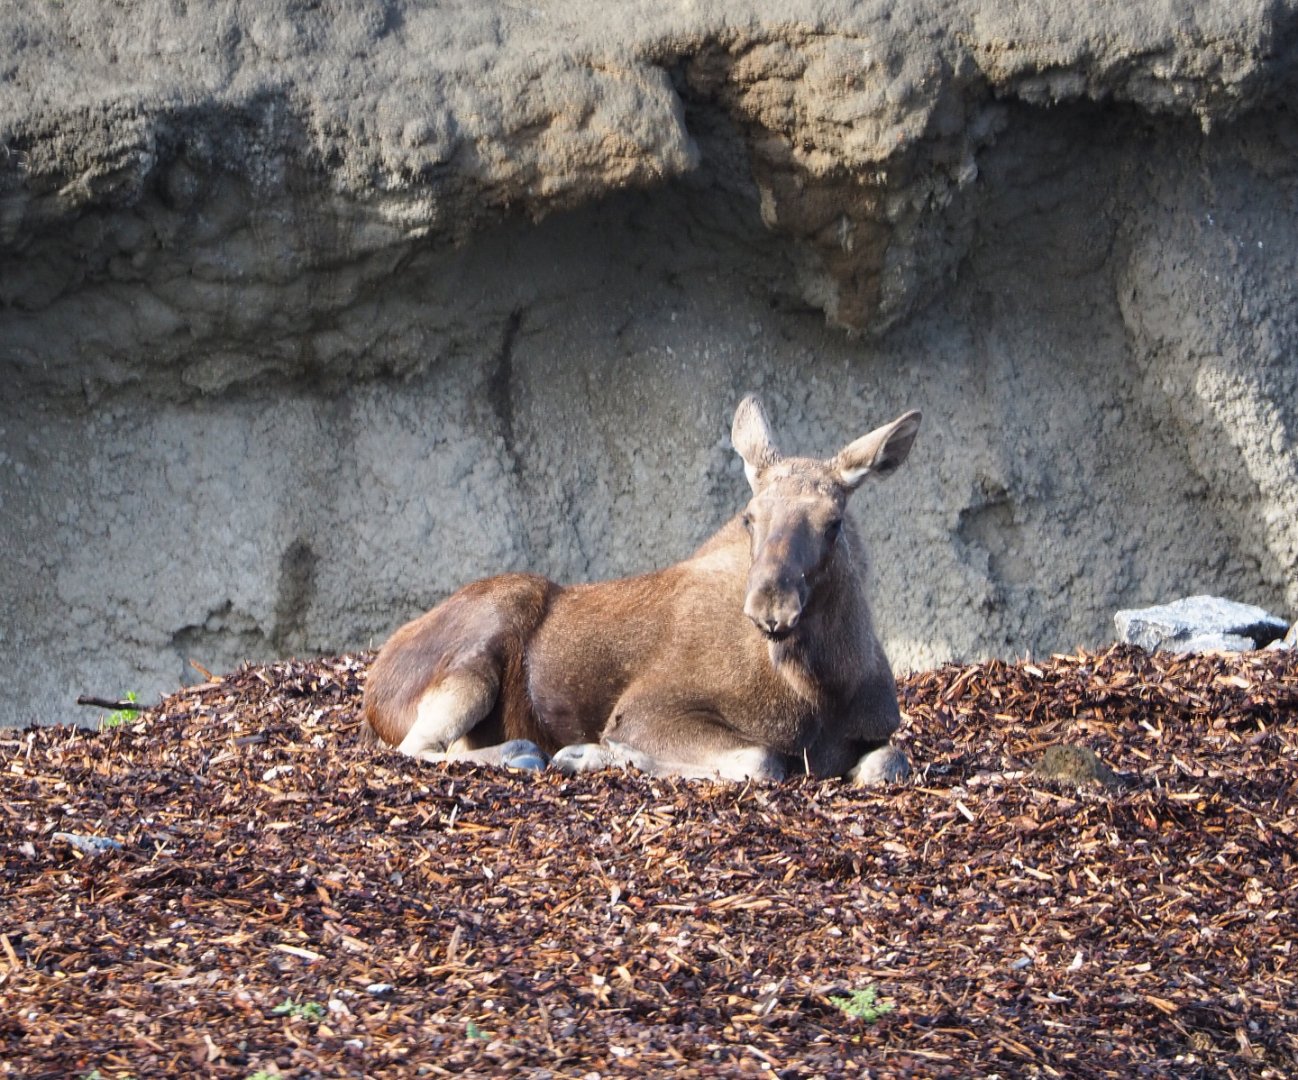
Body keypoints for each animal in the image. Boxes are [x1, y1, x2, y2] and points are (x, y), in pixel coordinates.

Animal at [363, 395, 921, 785]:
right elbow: (762, 759)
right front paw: (592, 754)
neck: (821, 687)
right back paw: (522, 754)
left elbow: (890, 761)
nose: (771, 609)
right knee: (416, 749)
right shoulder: (646, 710)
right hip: (478, 655)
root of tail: (373, 688)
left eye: (833, 522)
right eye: (750, 517)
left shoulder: (877, 733)